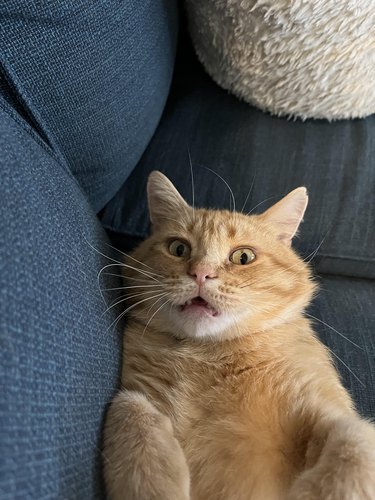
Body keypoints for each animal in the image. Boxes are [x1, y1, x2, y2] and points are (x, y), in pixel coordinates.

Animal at [103, 170, 375, 498]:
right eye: (179, 249)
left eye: (243, 257)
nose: (201, 273)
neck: (209, 354)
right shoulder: (135, 393)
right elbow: (131, 413)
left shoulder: (324, 408)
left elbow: (356, 439)